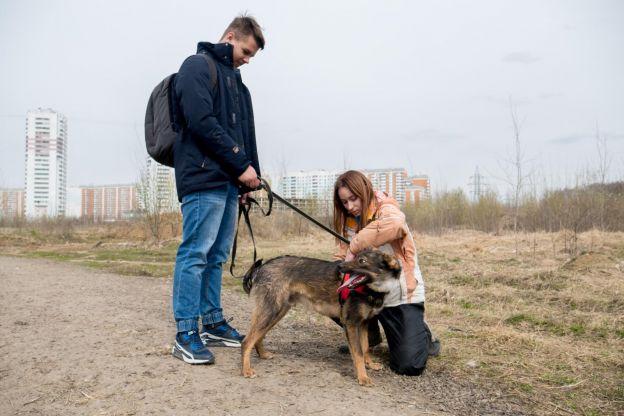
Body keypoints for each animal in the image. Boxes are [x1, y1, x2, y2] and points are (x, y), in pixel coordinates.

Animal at [239, 247, 400, 386]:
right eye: (356, 258)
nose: (340, 266)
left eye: (362, 261)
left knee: (258, 336)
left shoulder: (364, 323)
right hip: (271, 311)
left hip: (277, 312)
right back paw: (246, 370)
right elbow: (358, 353)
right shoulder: (351, 323)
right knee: (247, 341)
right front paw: (363, 377)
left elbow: (365, 348)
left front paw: (370, 365)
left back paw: (263, 354)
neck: (372, 290)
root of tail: (262, 267)